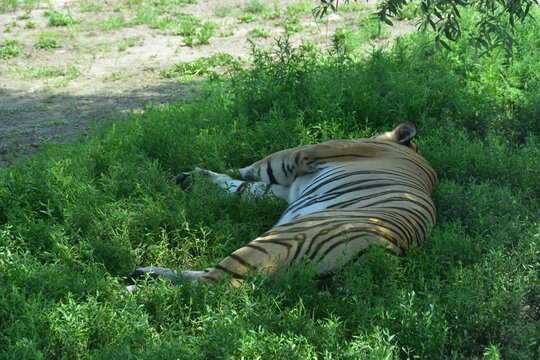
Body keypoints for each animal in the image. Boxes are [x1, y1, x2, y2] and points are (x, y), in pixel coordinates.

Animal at [127, 122, 438, 288]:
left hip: (277, 240)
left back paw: (137, 291)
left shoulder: (306, 153)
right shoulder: (285, 190)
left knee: (213, 284)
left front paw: (193, 174)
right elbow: (242, 187)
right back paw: (144, 274)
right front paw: (191, 180)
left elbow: (252, 169)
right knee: (209, 276)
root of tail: (386, 256)